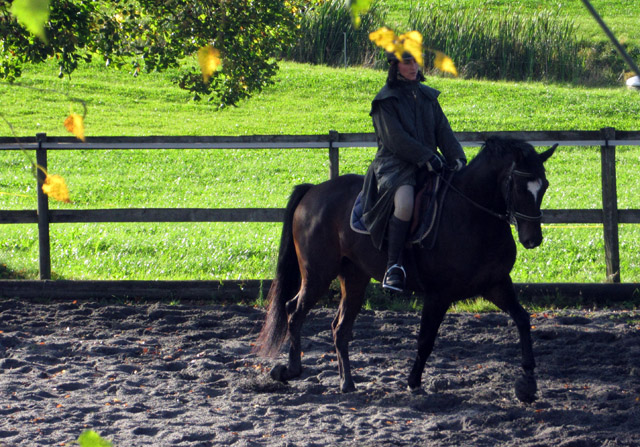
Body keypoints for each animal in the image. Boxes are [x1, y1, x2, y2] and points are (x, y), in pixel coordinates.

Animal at [252, 137, 552, 406]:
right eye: (520, 186)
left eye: (544, 186)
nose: (532, 239)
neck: (472, 215)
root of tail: (314, 191)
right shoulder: (438, 295)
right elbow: (425, 340)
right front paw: (414, 382)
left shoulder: (496, 284)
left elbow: (523, 319)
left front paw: (528, 381)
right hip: (317, 275)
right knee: (294, 310)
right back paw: (289, 370)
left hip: (355, 278)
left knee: (340, 328)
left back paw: (346, 382)